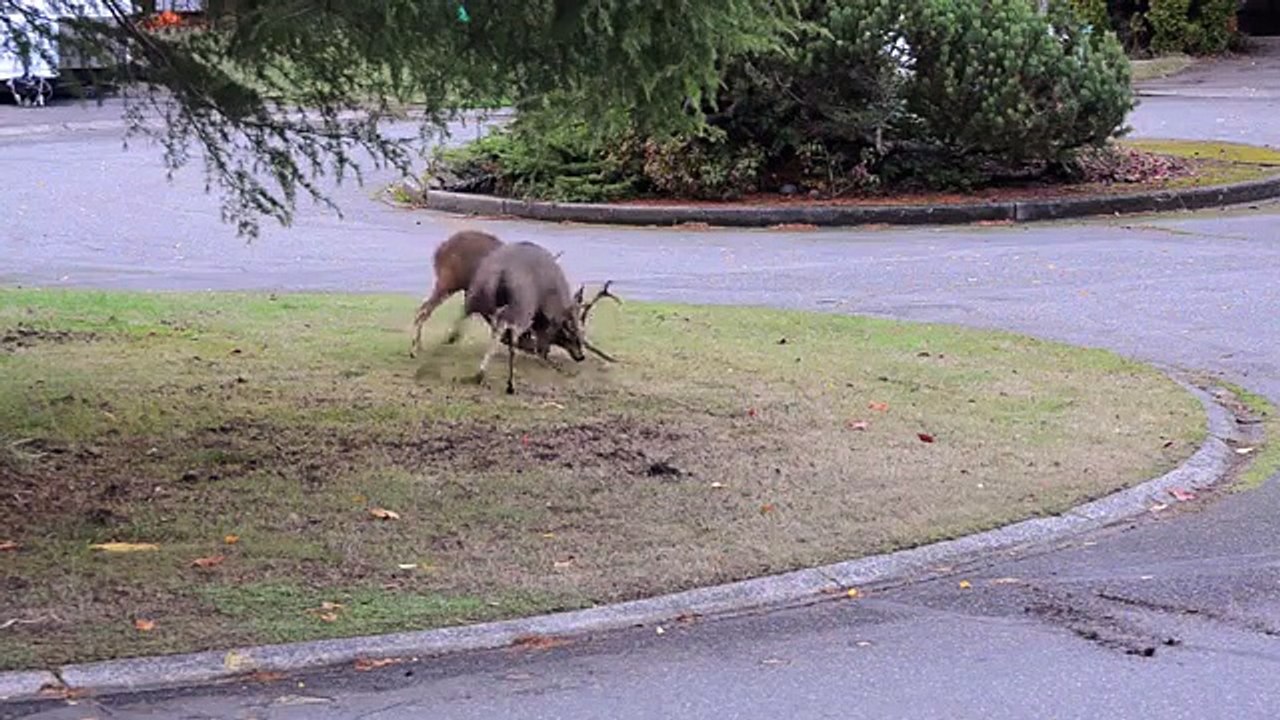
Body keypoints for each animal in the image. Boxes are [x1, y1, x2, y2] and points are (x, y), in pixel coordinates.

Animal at [447, 240, 620, 394]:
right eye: (569, 334)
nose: (581, 356)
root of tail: (501, 273)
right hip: (522, 305)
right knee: (509, 332)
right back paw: (506, 383)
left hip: (477, 293)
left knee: (467, 312)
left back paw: (452, 341)